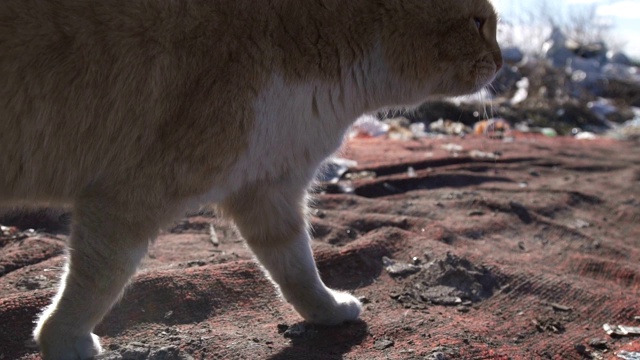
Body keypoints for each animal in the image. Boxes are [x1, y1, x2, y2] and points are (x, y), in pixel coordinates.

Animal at [0, 0, 500, 358]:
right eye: (479, 22)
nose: (499, 61)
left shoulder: (268, 190)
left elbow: (296, 266)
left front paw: (328, 312)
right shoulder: (130, 195)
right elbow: (97, 279)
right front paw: (63, 340)